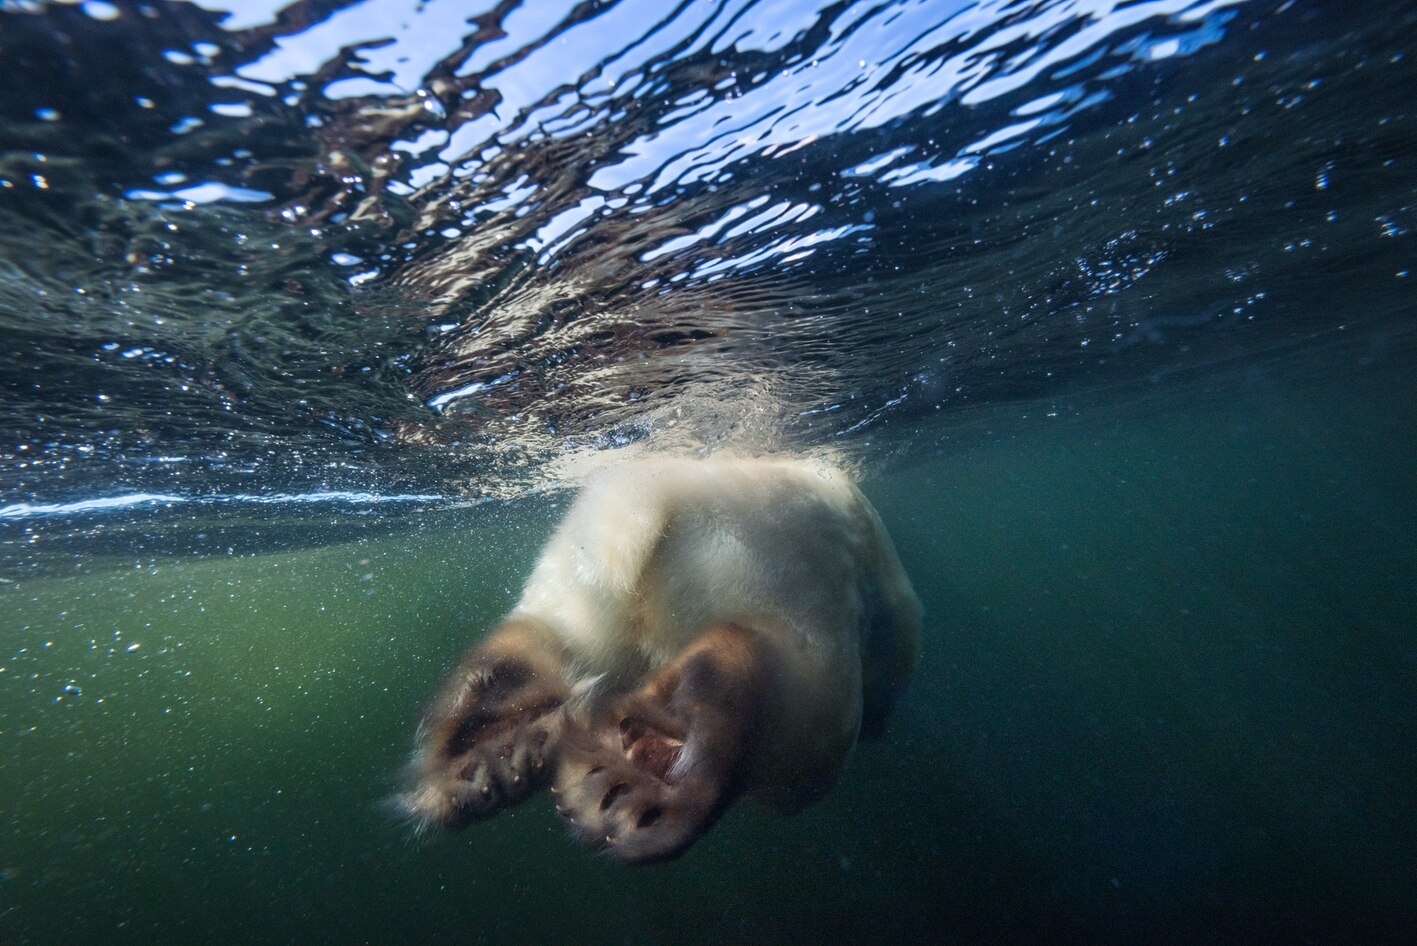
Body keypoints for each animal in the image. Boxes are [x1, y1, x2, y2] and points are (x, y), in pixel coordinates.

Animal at [397, 455, 921, 863]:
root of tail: (667, 492)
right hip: (782, 566)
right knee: (799, 701)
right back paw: (636, 783)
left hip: (580, 576)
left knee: (553, 637)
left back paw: (491, 757)